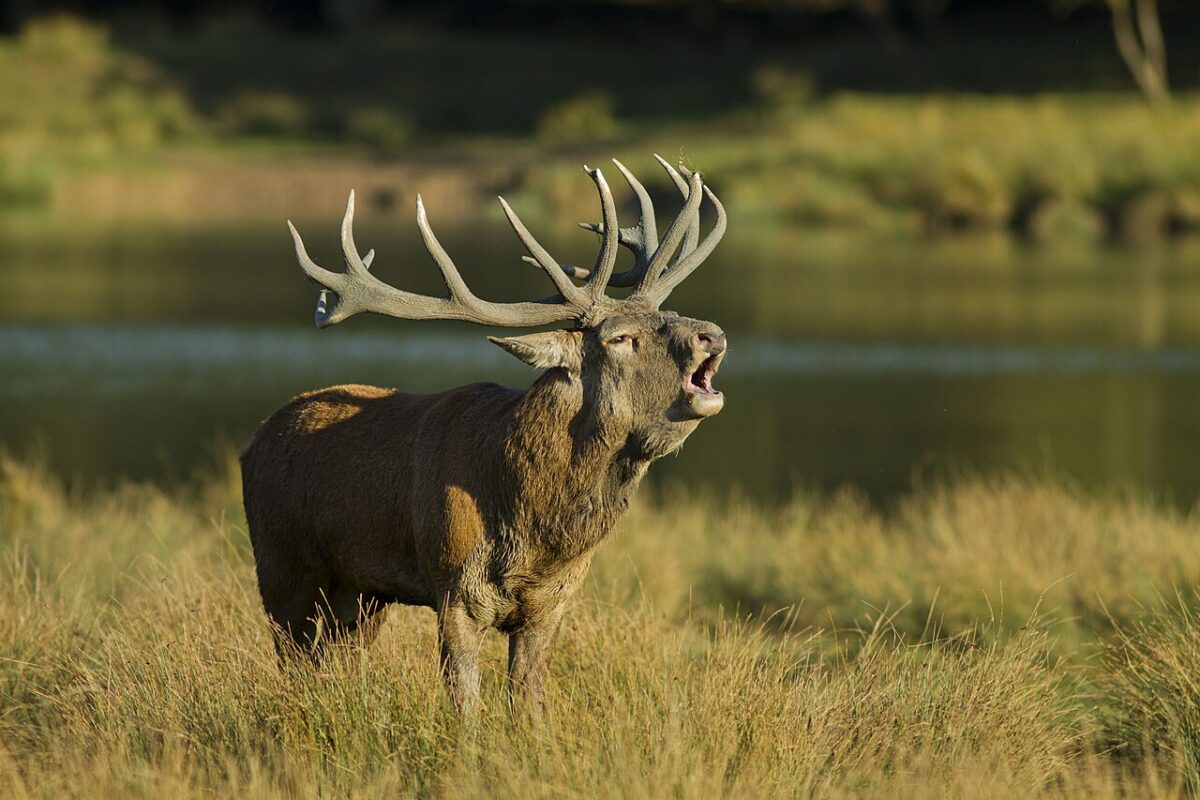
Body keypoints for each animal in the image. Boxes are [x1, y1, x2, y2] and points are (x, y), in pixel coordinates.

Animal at [240, 155, 727, 716]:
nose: (711, 333)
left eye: (669, 314)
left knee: (334, 659)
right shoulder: (454, 586)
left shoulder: (553, 602)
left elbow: (530, 704)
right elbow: (467, 707)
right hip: (282, 565)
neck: (533, 531)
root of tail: (254, 440)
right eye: (620, 338)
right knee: (293, 659)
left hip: (359, 593)